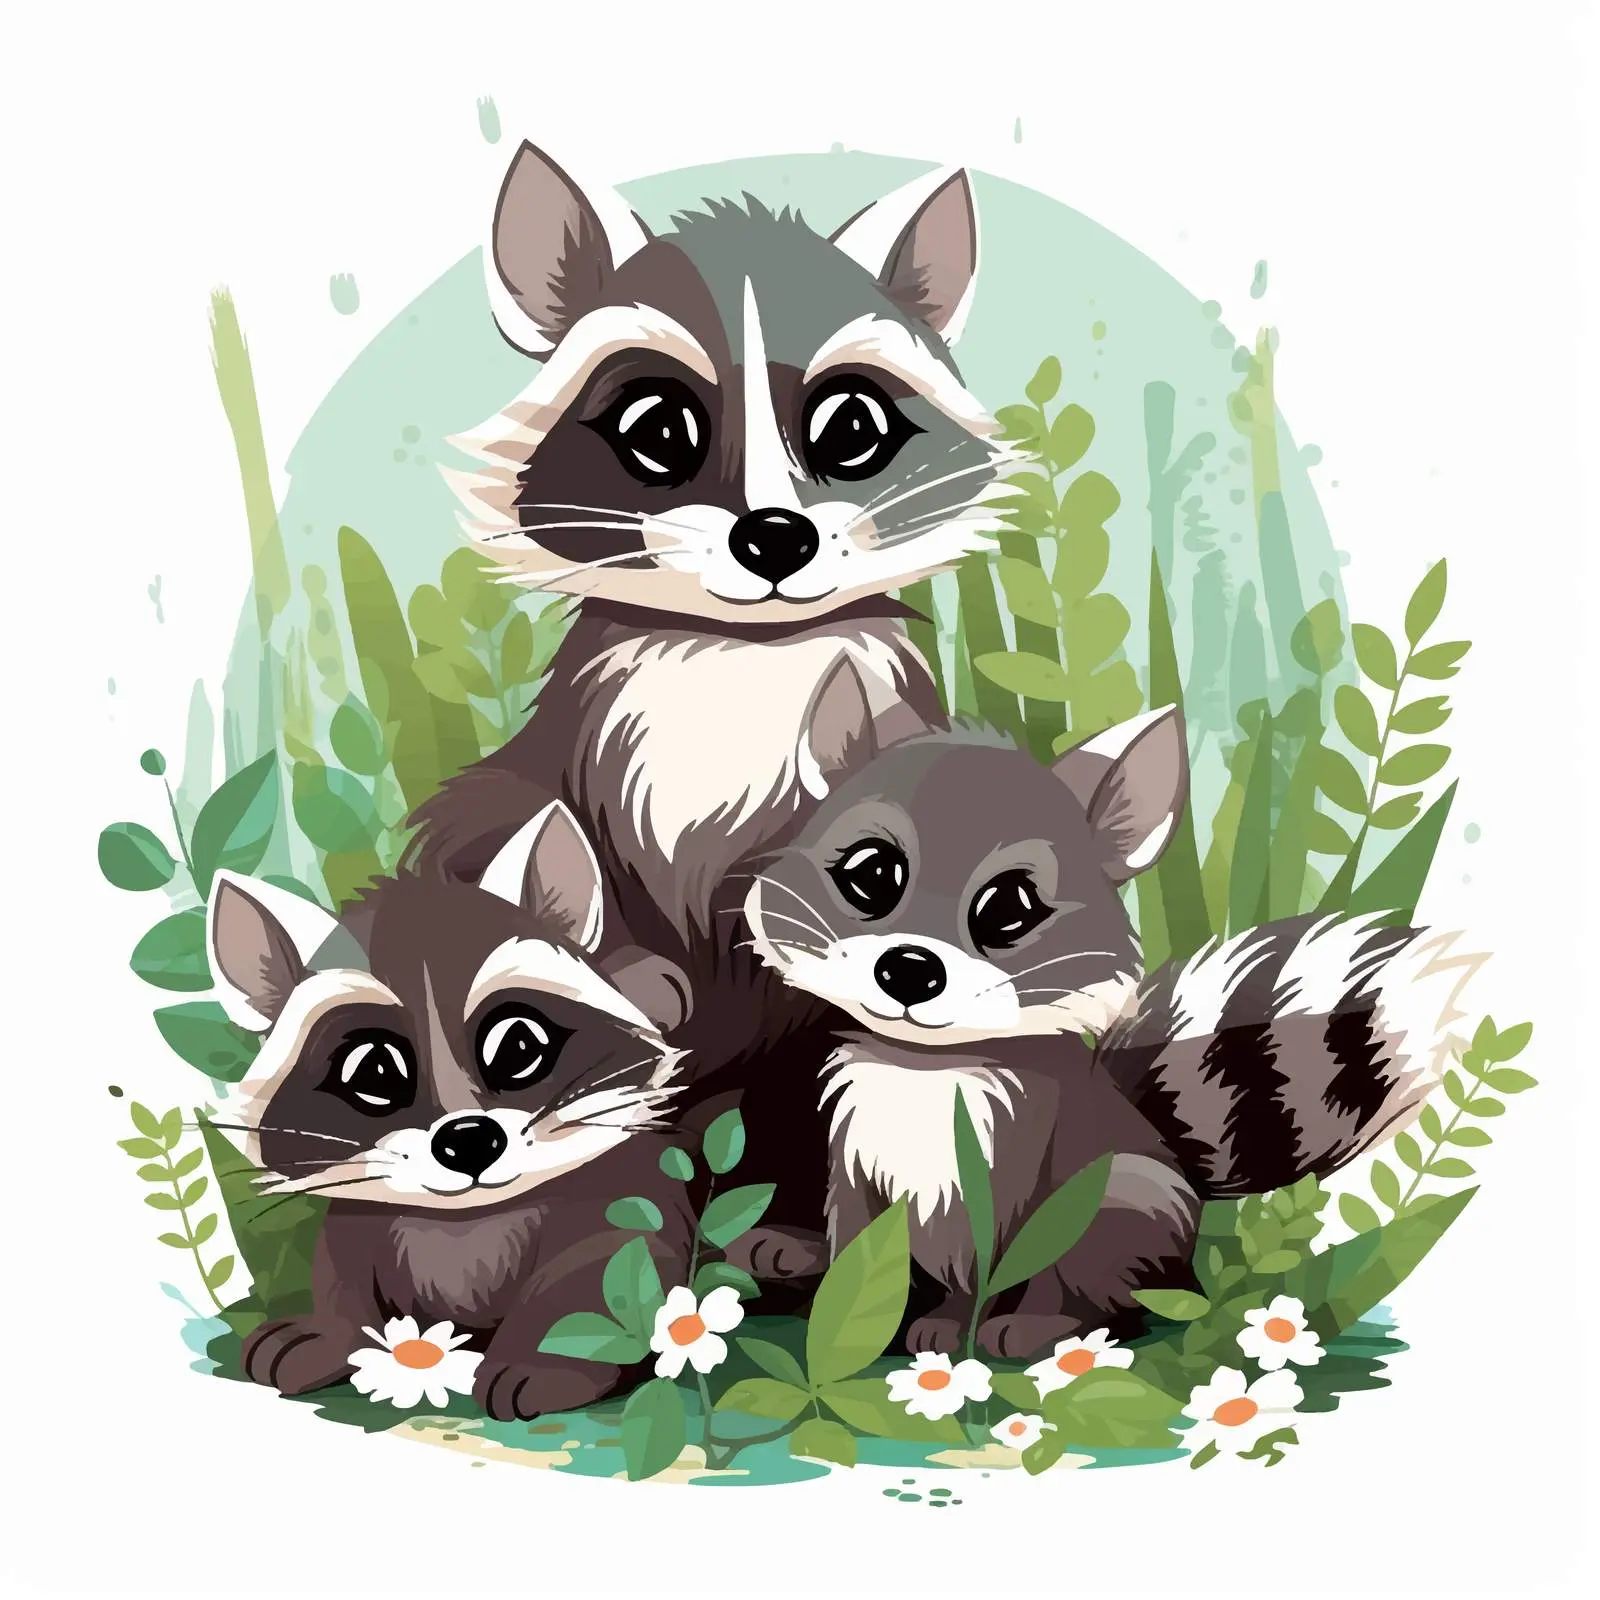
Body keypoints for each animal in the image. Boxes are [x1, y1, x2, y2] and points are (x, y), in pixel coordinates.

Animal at [208, 801, 692, 1420]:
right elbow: (342, 1272)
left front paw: (545, 1360)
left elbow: (593, 1272)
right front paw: (330, 1334)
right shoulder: (359, 1217)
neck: (467, 1216)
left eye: (519, 1045)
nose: (468, 1139)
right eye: (375, 1071)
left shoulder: (620, 1194)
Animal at [739, 693, 1481, 1356]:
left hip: (1124, 1202)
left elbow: (981, 1256)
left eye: (1008, 907)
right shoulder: (855, 1145)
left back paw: (1039, 1326)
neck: (923, 1063)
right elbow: (858, 1236)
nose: (910, 970)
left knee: (1104, 1282)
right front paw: (841, 1310)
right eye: (872, 873)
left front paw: (947, 1325)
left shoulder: (1009, 1156)